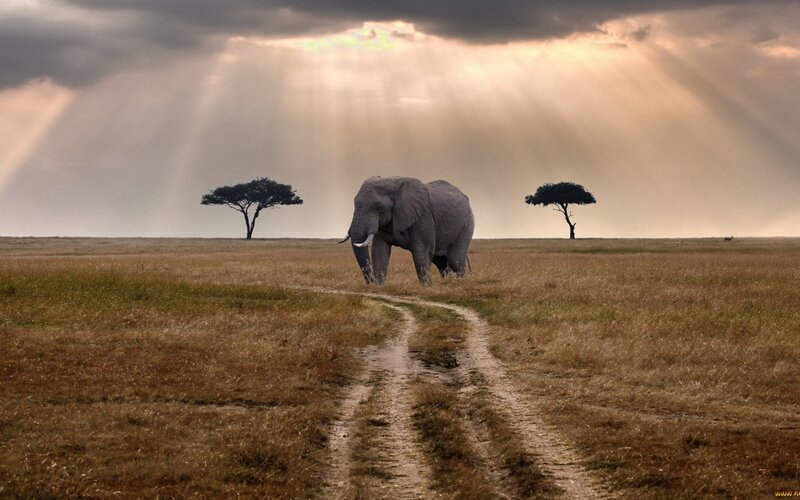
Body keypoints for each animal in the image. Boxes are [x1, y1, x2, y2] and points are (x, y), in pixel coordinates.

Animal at [341, 176, 474, 285]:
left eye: (378, 206)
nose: (371, 283)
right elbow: (379, 251)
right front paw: (379, 286)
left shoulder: (423, 216)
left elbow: (421, 251)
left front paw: (426, 287)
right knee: (441, 263)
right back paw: (447, 283)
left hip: (467, 224)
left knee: (455, 260)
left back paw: (458, 284)